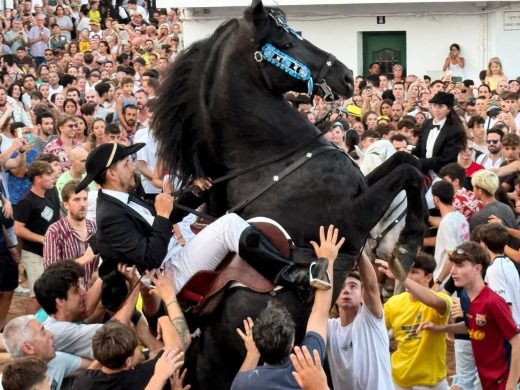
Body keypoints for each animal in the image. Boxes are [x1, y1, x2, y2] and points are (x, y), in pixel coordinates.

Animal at [152, 1, 424, 388]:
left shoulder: (362, 188)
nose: (345, 76)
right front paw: (406, 245)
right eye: (285, 41)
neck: (271, 157)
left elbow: (405, 160)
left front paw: (398, 241)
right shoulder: (350, 217)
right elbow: (409, 173)